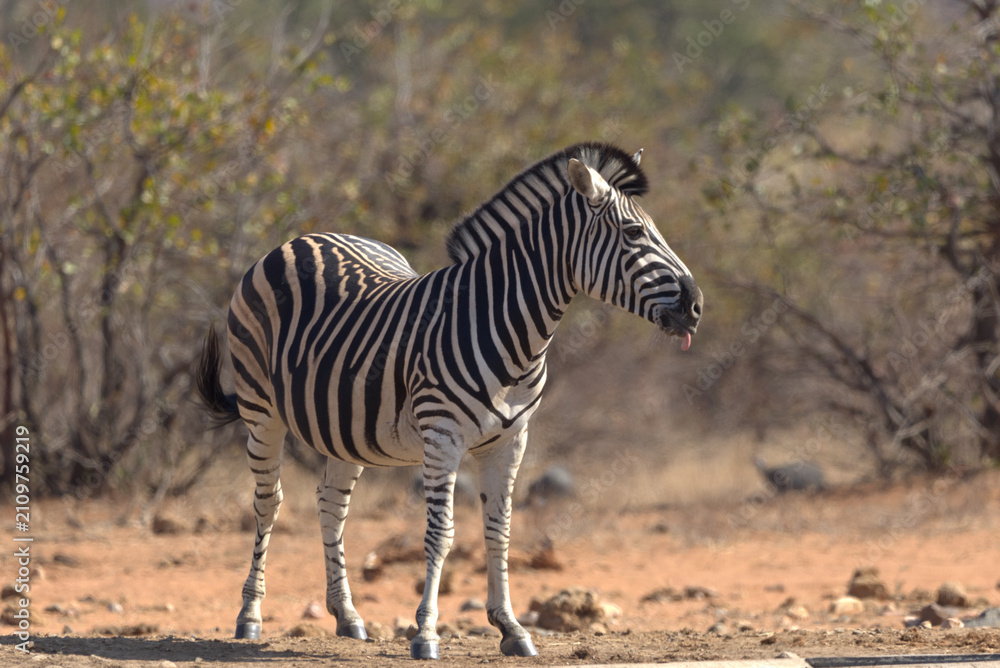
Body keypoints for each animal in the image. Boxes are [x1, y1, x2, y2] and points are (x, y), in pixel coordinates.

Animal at [196, 142, 703, 660]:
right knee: (268, 503)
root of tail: (304, 238)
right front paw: (426, 633)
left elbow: (499, 529)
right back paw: (250, 616)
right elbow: (441, 534)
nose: (695, 305)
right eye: (634, 232)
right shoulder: (443, 436)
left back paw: (348, 616)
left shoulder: (511, 441)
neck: (511, 332)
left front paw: (510, 627)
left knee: (330, 504)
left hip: (344, 426)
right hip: (262, 412)